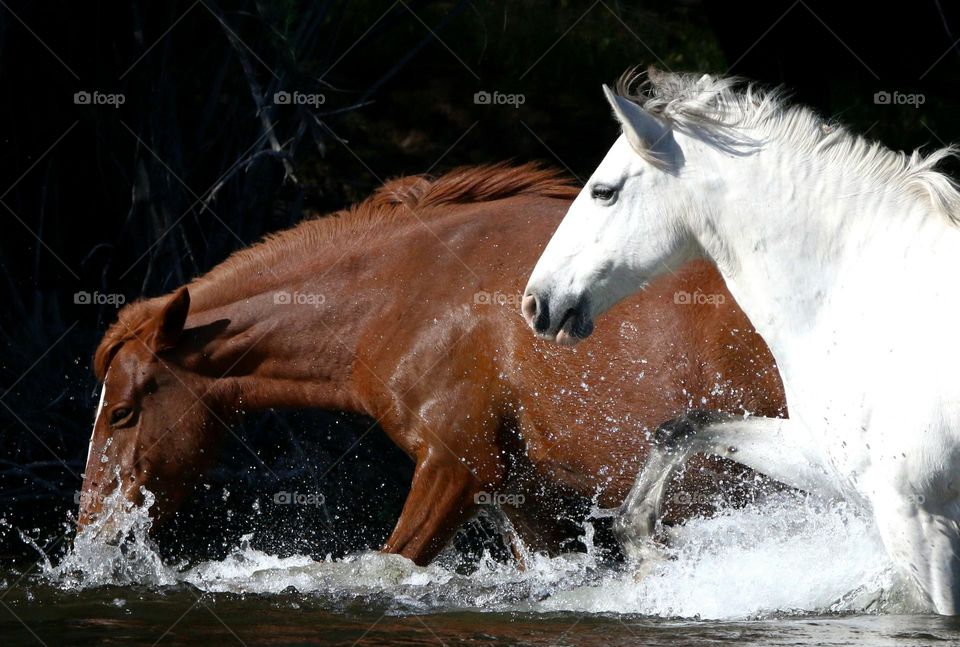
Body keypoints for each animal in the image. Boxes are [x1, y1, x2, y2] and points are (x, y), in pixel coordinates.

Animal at [79, 163, 784, 566]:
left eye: (122, 412)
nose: (93, 535)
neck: (411, 293)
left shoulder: (452, 467)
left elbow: (380, 568)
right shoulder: (515, 496)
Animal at [522, 70, 960, 613]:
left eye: (603, 192)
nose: (535, 303)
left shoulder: (917, 517)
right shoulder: (828, 464)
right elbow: (682, 428)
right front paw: (644, 544)